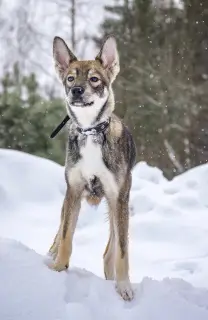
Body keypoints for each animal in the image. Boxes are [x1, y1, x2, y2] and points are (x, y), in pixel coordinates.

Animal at [48, 35, 137, 300]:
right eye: (70, 78)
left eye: (94, 79)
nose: (76, 90)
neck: (90, 131)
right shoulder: (74, 191)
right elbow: (66, 237)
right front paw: (58, 269)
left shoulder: (118, 198)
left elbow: (122, 250)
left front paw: (124, 286)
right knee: (60, 231)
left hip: (118, 205)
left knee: (112, 247)